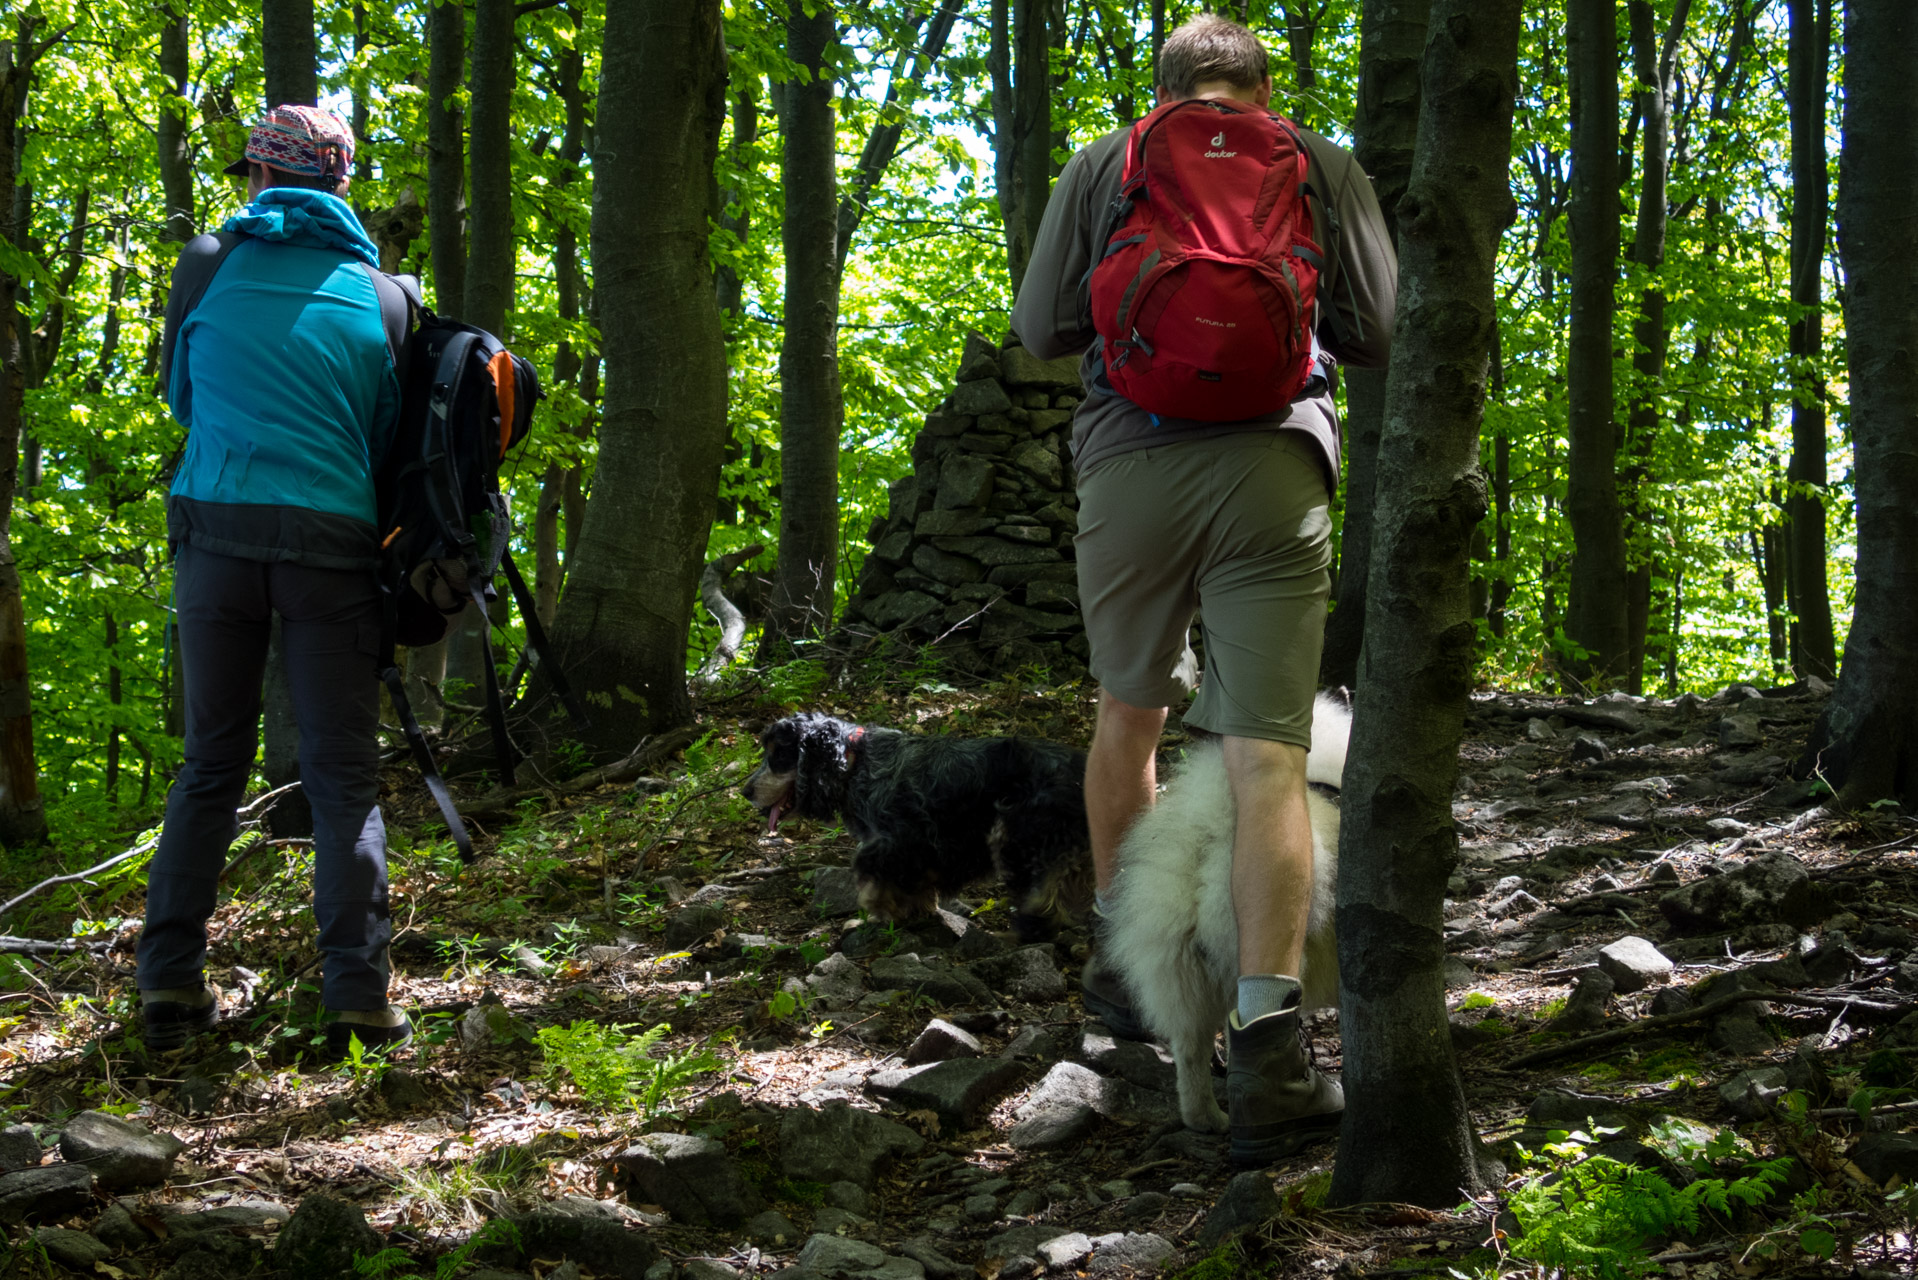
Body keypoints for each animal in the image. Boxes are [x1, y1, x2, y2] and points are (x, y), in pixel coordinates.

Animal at [736, 710, 1089, 940]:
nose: (745, 792)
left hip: (1016, 833)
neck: (855, 763)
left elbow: (876, 883)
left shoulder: (897, 842)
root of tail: (1079, 771)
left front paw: (875, 917)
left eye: (778, 755)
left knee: (1041, 891)